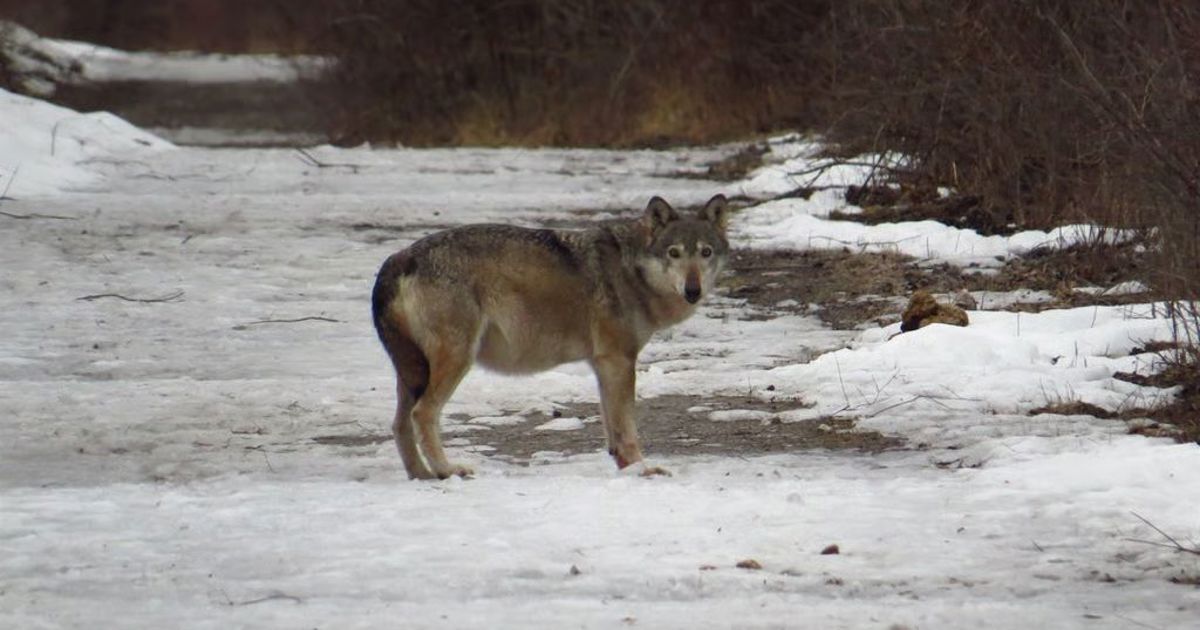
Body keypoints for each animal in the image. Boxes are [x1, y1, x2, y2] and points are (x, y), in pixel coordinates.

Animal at [371, 195, 730, 480]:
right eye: (674, 253)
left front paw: (627, 469)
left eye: (706, 252)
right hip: (456, 360)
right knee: (422, 414)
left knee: (399, 424)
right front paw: (643, 470)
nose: (693, 290)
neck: (632, 272)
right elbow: (627, 428)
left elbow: (612, 429)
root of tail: (399, 257)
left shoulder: (603, 364)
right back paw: (447, 470)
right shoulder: (619, 360)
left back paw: (421, 475)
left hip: (413, 372)